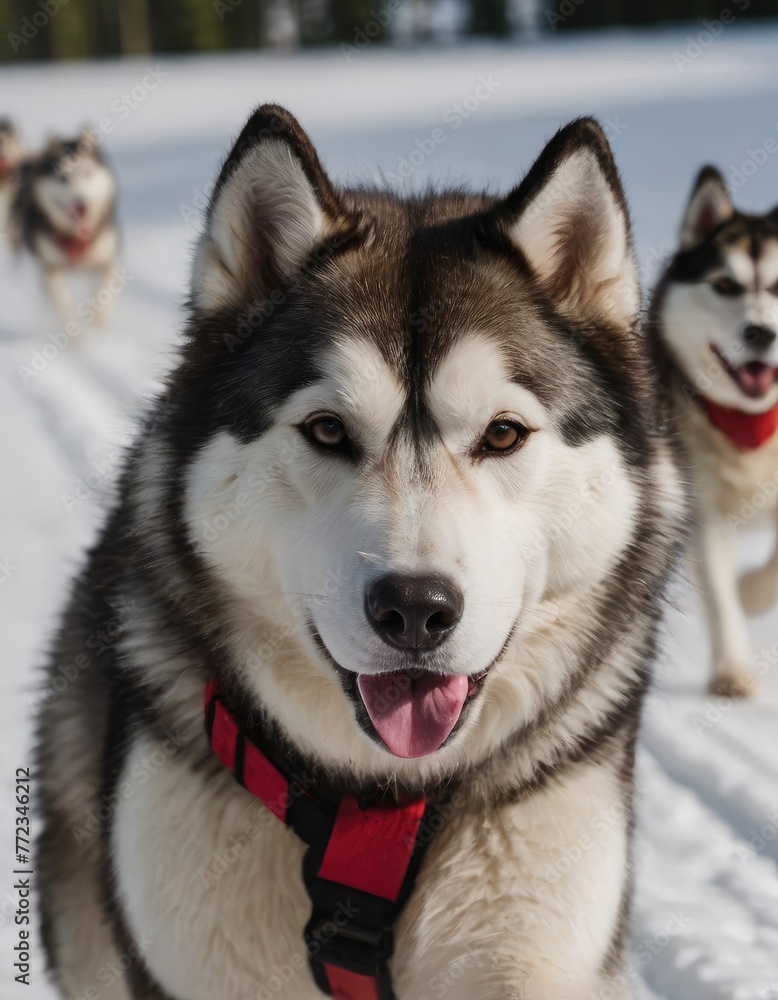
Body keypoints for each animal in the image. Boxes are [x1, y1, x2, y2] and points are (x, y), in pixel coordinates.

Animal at [12, 130, 118, 324]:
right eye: (62, 178)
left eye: (87, 173)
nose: (80, 204)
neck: (75, 236)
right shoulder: (50, 268)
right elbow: (63, 305)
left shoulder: (106, 261)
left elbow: (102, 298)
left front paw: (100, 328)